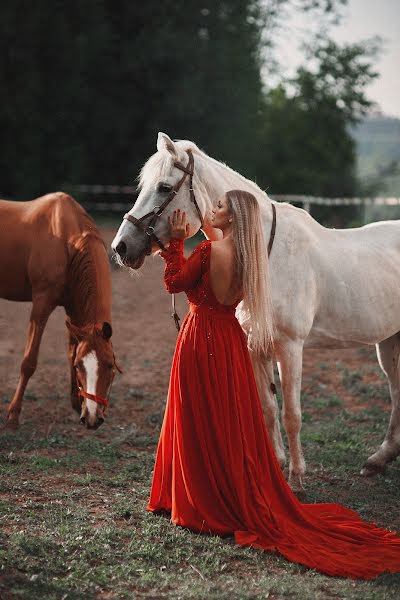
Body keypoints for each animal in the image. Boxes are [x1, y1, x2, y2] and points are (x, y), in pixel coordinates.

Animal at [0, 190, 119, 428]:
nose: (92, 419)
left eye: (110, 365)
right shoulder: (41, 304)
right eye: (81, 366)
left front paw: (76, 403)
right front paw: (13, 415)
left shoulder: (74, 311)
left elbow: (71, 352)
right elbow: (29, 362)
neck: (67, 241)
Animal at [111, 134, 400, 490]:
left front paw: (297, 478)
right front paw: (276, 467)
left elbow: (291, 414)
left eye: (164, 187)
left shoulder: (290, 347)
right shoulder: (256, 345)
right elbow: (268, 408)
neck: (262, 253)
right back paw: (379, 460)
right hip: (388, 342)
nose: (121, 247)